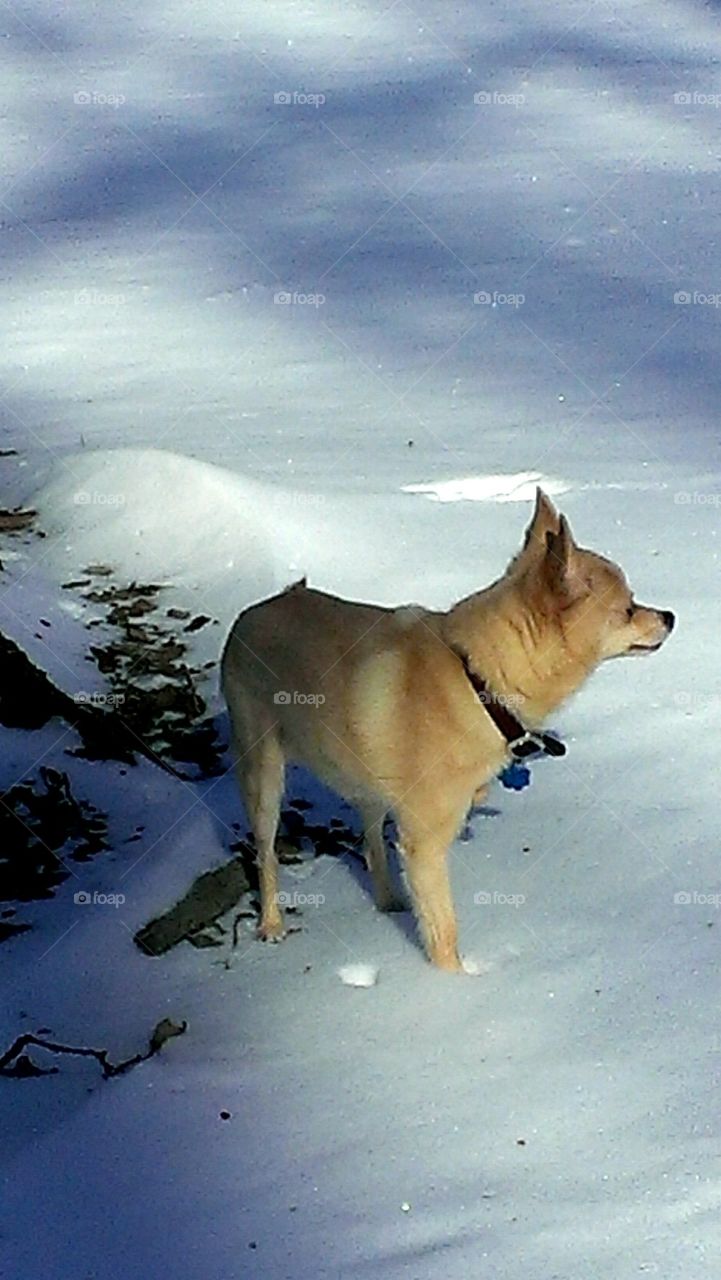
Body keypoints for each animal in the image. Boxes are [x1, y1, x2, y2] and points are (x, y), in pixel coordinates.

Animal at [222, 488, 676, 967]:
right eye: (628, 609)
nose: (670, 616)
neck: (479, 682)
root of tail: (253, 612)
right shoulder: (425, 848)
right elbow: (443, 934)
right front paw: (451, 984)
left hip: (365, 783)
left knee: (371, 841)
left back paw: (387, 901)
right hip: (263, 776)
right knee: (266, 855)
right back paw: (272, 923)